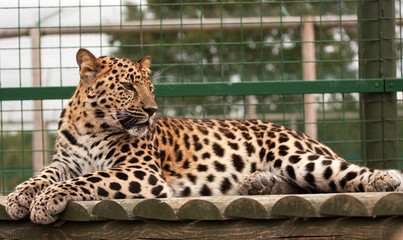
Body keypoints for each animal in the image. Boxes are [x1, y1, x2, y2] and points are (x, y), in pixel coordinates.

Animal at [5, 48, 403, 225]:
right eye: (129, 87)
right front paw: (18, 197)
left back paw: (385, 178)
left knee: (342, 173)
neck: (91, 126)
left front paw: (44, 203)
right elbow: (41, 176)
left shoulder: (141, 173)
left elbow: (85, 180)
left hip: (297, 156)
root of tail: (298, 131)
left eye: (150, 88)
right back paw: (259, 184)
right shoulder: (65, 162)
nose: (152, 110)